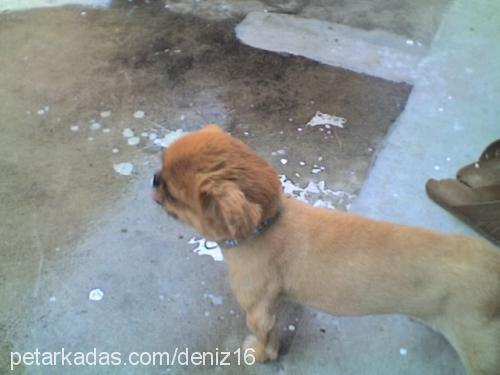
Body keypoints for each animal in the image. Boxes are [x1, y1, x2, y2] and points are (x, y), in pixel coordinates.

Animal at [151, 125, 500, 374]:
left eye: (173, 194)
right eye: (161, 168)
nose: (154, 179)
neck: (268, 224)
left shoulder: (258, 312)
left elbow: (266, 339)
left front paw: (260, 354)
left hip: (480, 353)